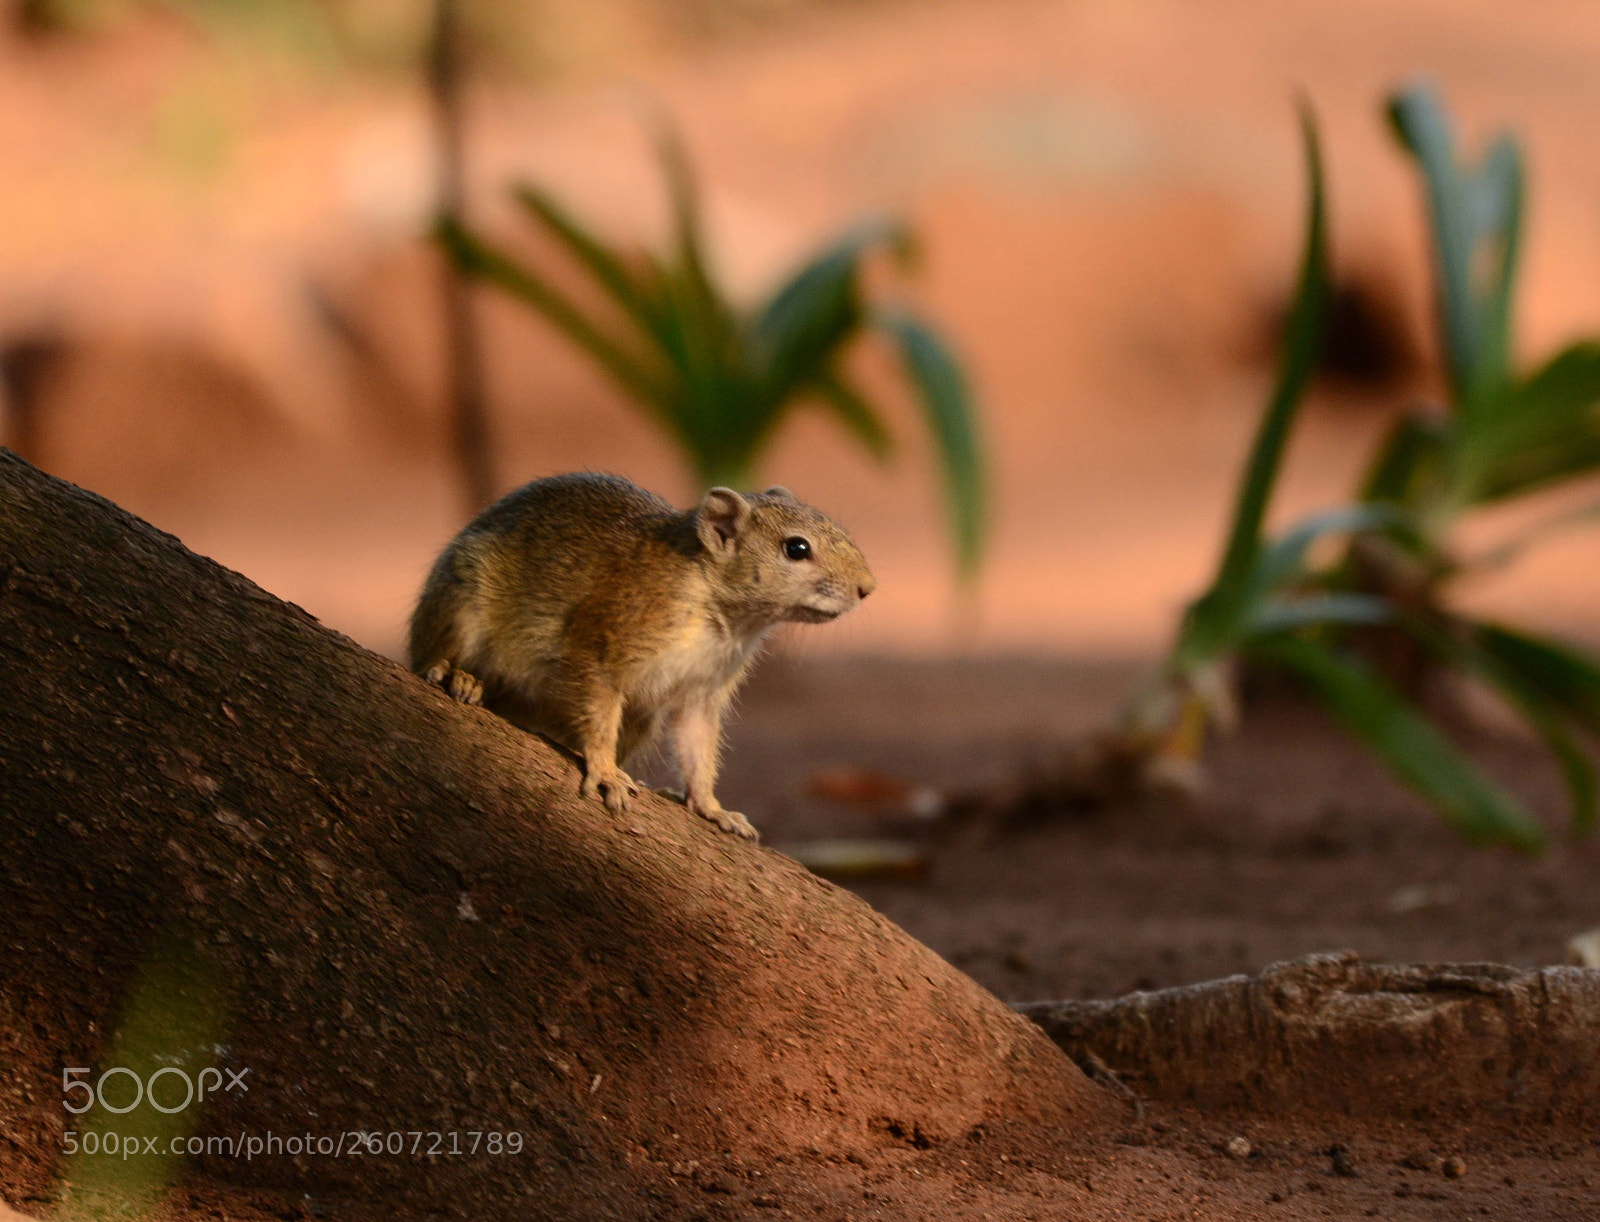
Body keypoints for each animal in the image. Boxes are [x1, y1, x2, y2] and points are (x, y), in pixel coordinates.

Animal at [408, 473, 875, 840]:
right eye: (796, 548)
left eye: (839, 529)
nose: (867, 588)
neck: (718, 610)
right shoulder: (606, 639)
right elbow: (598, 711)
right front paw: (604, 771)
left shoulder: (703, 691)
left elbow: (698, 746)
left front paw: (711, 807)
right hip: (460, 604)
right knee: (431, 655)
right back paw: (456, 676)